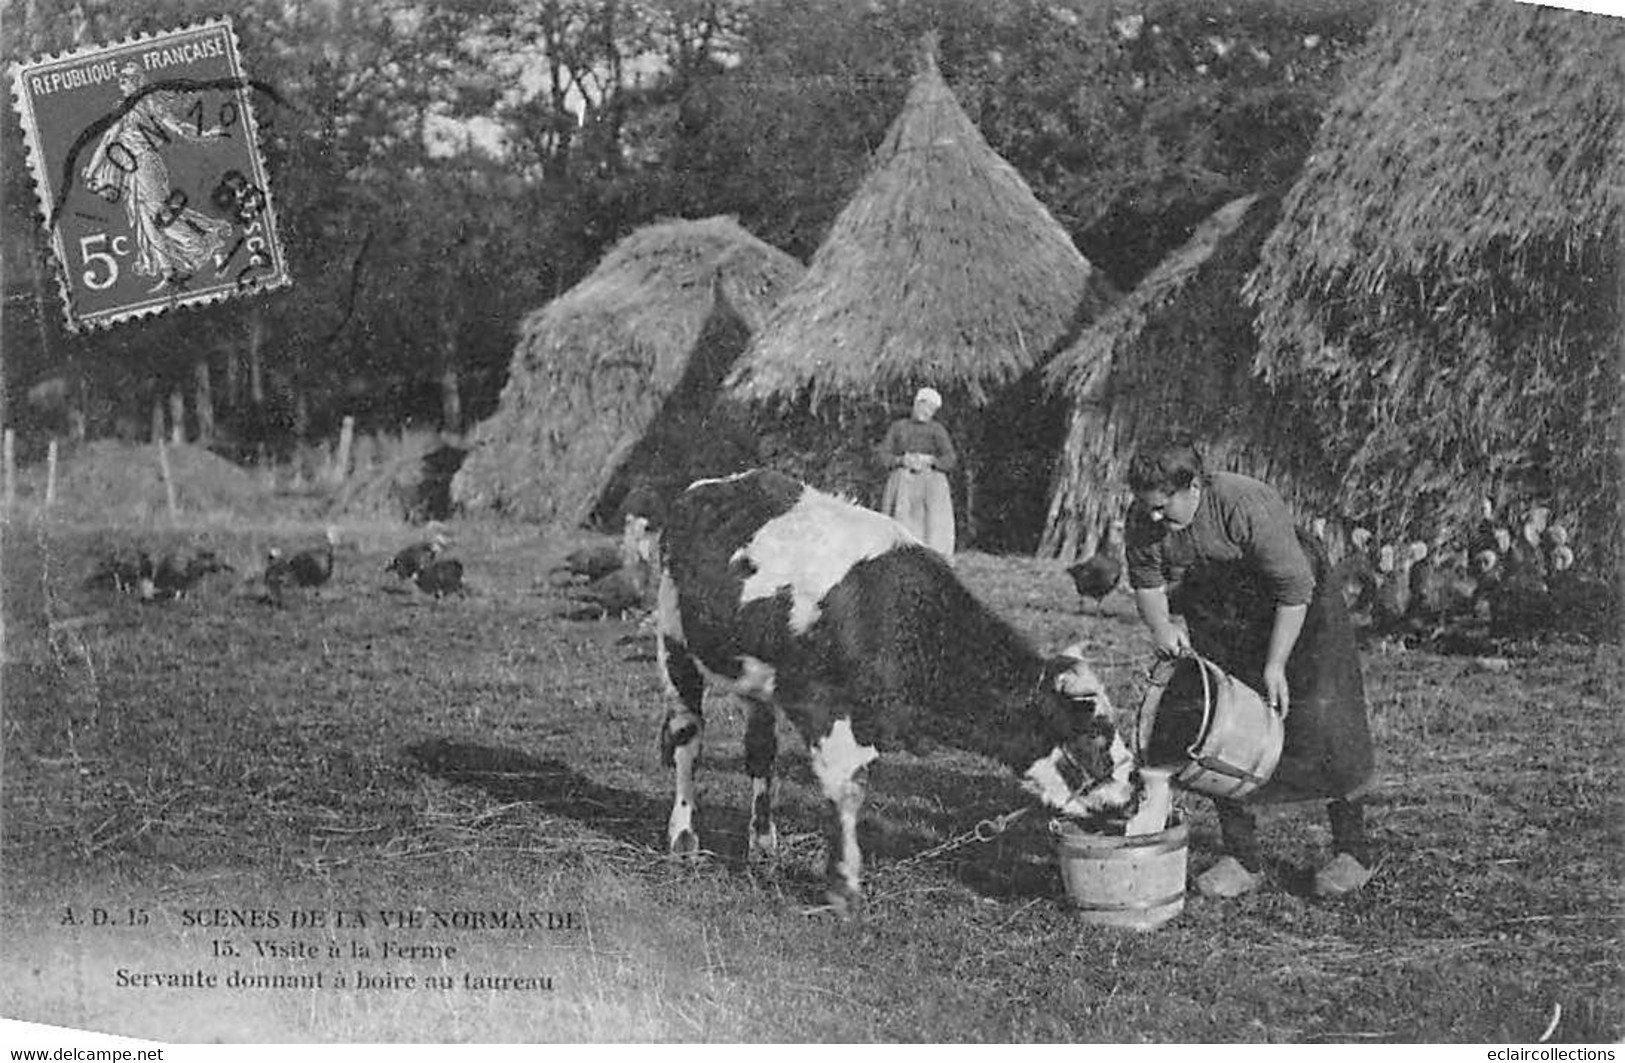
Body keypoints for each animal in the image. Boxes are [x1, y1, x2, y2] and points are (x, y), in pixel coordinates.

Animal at [653, 471, 1137, 910]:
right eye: (1092, 733)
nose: (1133, 800)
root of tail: (710, 485)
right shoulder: (821, 707)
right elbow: (846, 789)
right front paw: (844, 885)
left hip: (756, 682)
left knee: (760, 753)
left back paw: (762, 843)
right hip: (674, 645)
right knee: (687, 740)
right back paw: (683, 839)